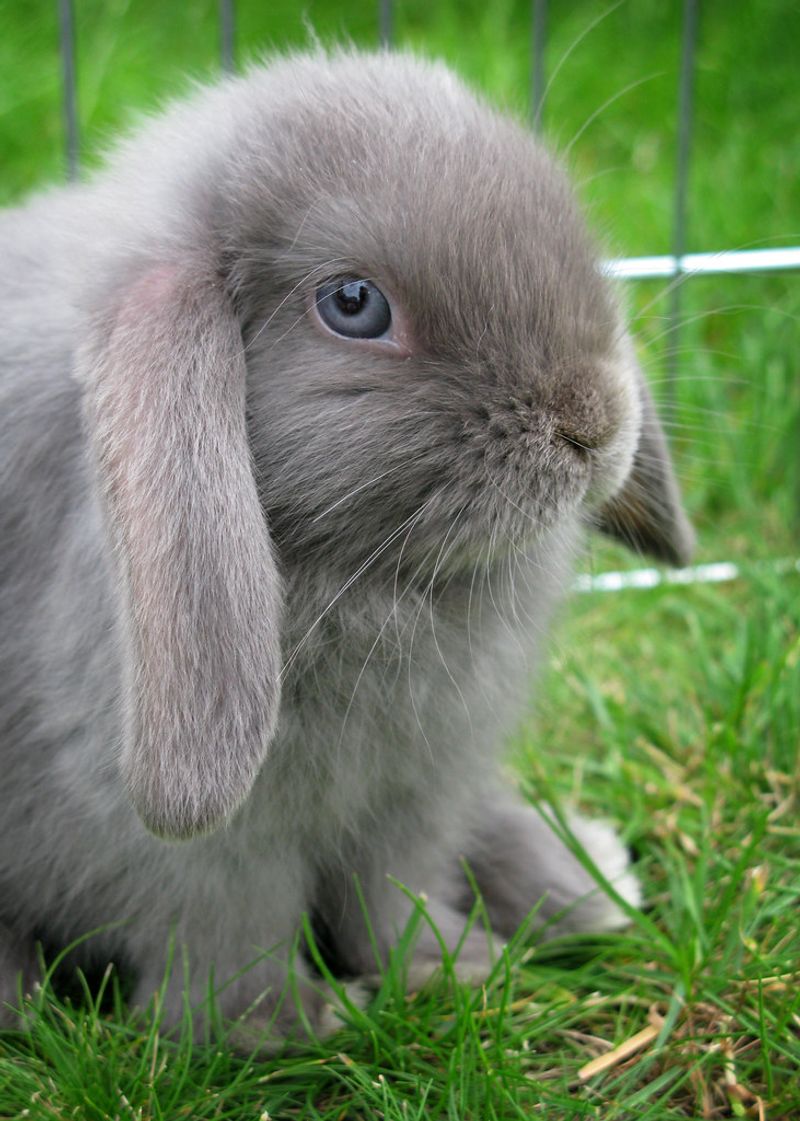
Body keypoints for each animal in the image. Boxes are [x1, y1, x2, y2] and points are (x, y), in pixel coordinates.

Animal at [0, 49, 694, 1044]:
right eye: (354, 305)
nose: (595, 423)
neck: (372, 579)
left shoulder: (413, 797)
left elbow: (392, 893)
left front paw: (454, 969)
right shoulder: (194, 847)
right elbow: (228, 933)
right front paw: (293, 1023)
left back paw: (583, 882)